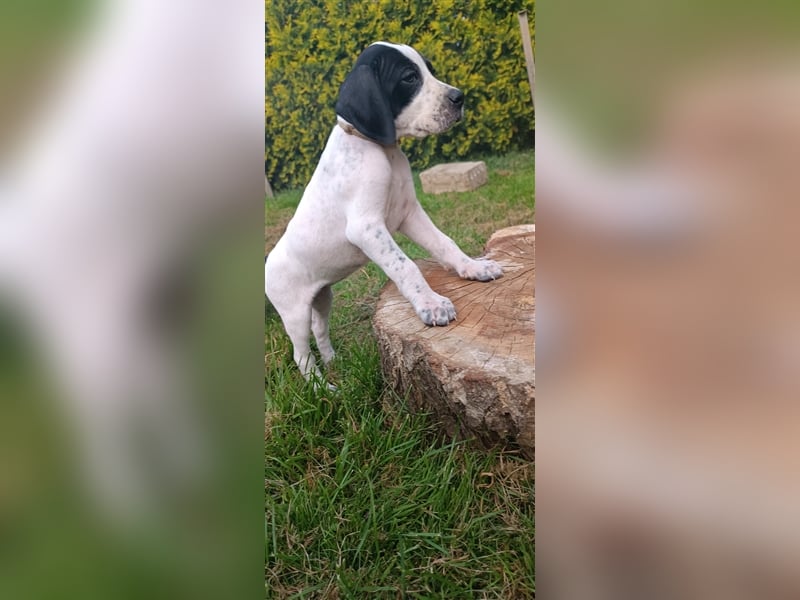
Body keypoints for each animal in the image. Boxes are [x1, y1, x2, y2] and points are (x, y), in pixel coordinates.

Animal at [266, 43, 504, 390]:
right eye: (409, 78)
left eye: (429, 69)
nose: (459, 97)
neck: (382, 150)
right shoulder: (366, 228)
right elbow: (405, 266)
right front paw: (432, 305)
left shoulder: (409, 213)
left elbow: (444, 242)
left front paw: (474, 267)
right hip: (294, 313)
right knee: (301, 355)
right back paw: (325, 389)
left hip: (322, 298)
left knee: (320, 331)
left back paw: (334, 361)